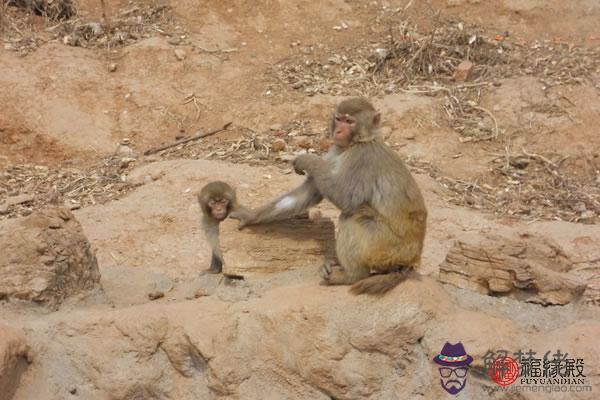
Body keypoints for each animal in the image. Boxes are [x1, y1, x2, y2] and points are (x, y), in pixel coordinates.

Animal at [233, 98, 426, 296]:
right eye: (339, 119)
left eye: (350, 122)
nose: (338, 131)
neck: (357, 142)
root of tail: (410, 261)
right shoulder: (336, 150)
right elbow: (311, 192)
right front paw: (250, 216)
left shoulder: (361, 158)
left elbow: (345, 198)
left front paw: (309, 160)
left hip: (387, 248)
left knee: (354, 216)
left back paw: (352, 276)